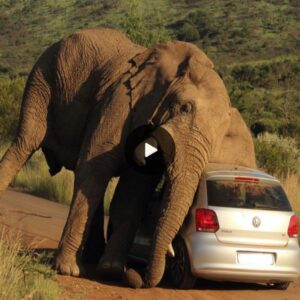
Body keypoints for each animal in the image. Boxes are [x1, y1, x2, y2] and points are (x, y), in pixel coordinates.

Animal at [0, 28, 255, 288]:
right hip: (43, 78)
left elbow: (133, 190)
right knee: (25, 144)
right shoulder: (121, 102)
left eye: (222, 132)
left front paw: (112, 269)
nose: (135, 276)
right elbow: (95, 167)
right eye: (185, 108)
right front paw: (69, 270)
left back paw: (93, 260)